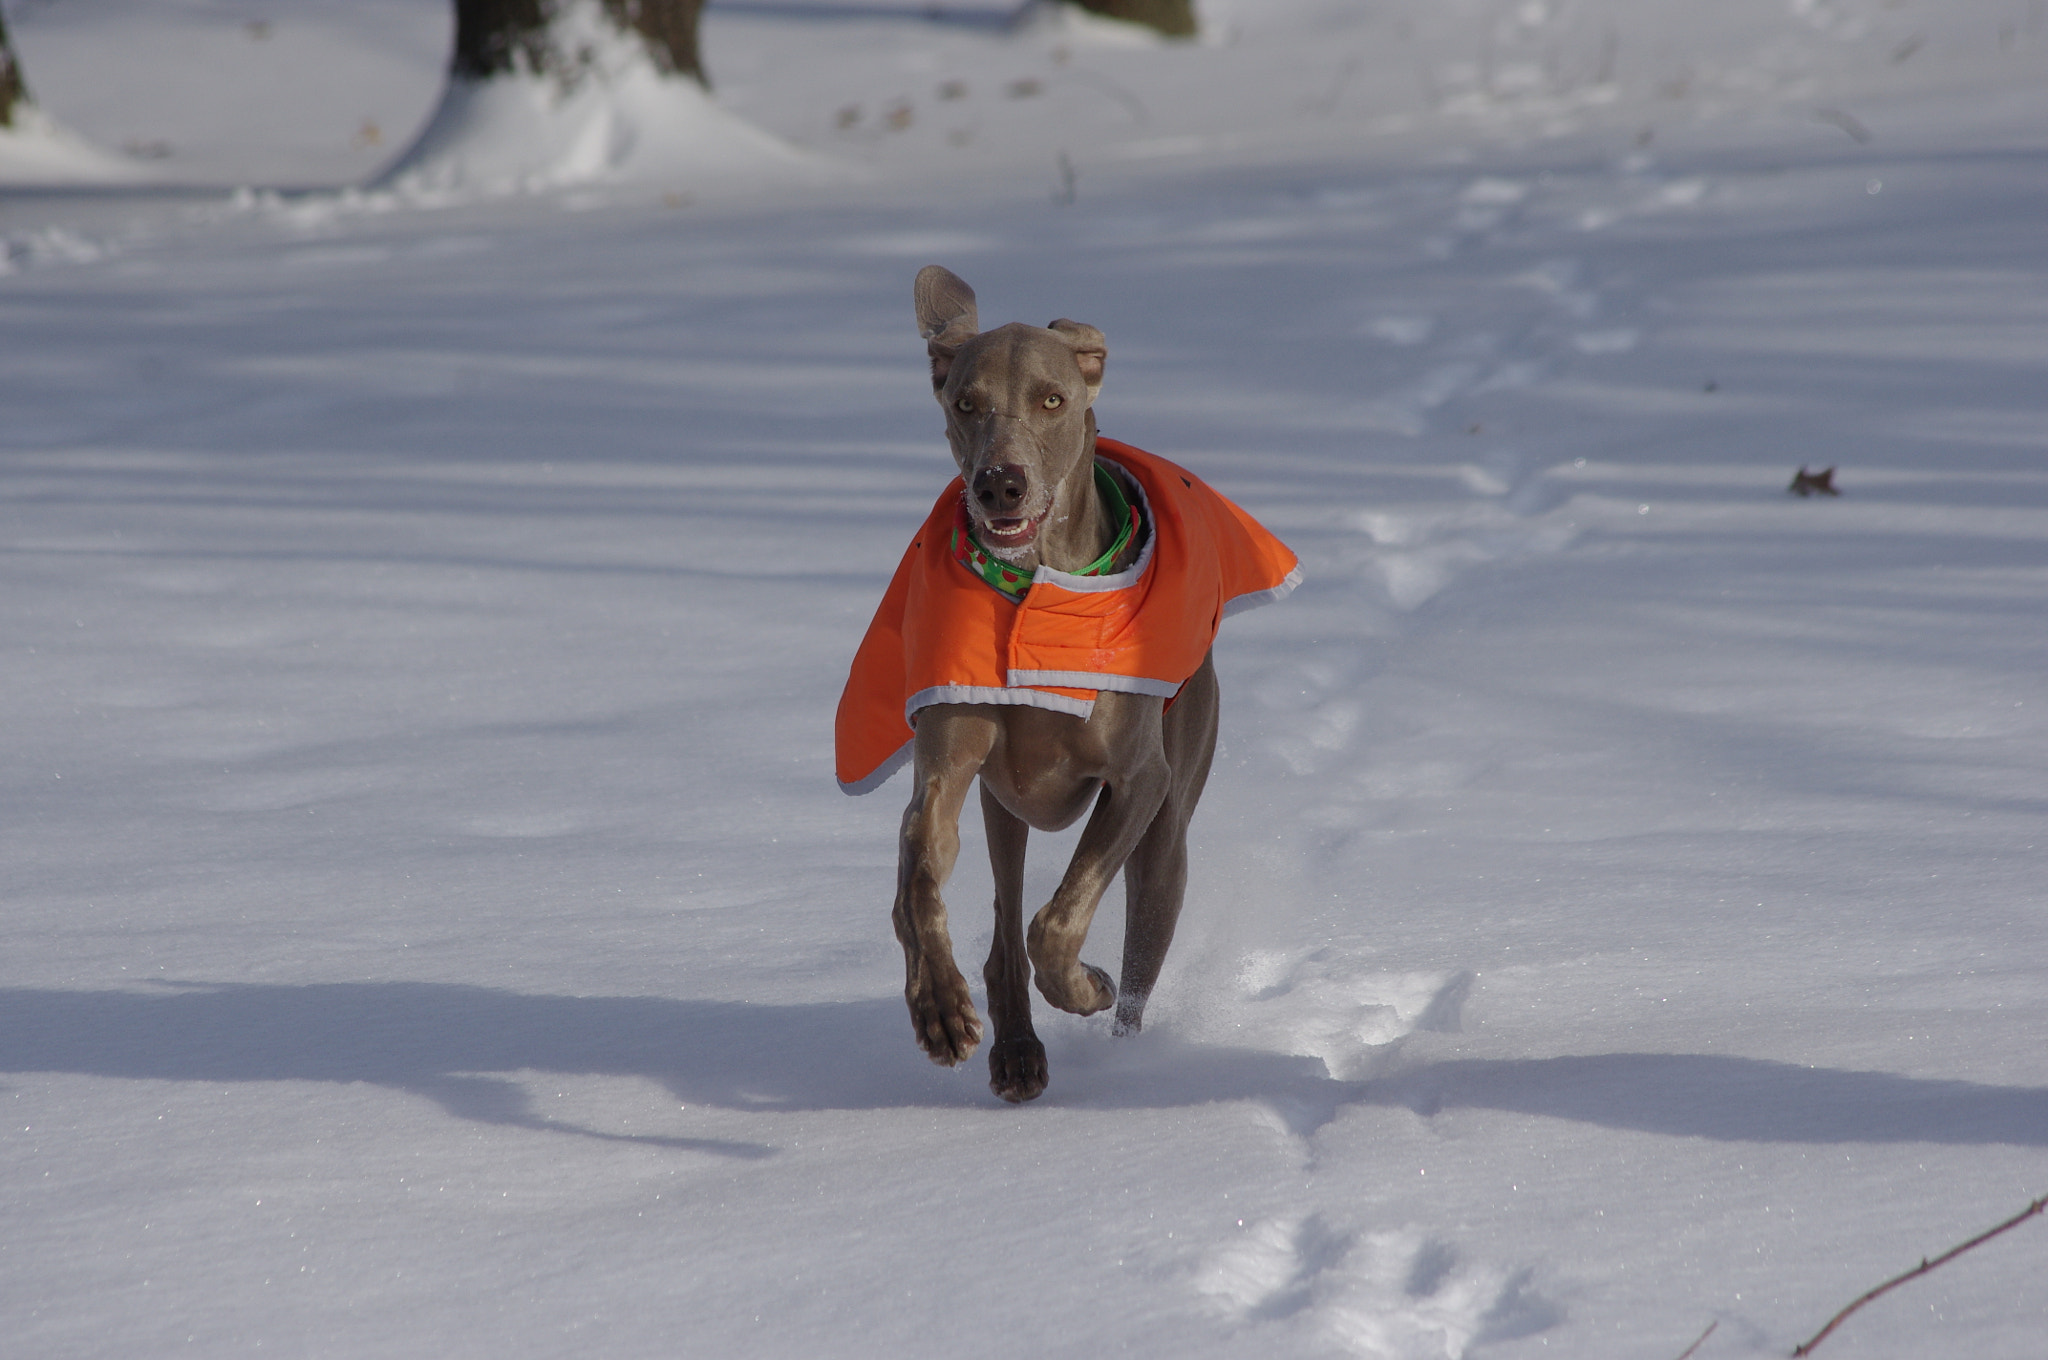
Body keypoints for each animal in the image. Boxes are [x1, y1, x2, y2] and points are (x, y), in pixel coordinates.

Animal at [835, 266, 1294, 1106]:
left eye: (1052, 400)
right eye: (966, 403)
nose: (1000, 486)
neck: (1033, 586)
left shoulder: (1141, 780)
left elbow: (1061, 918)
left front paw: (1086, 986)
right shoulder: (946, 769)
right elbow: (920, 879)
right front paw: (939, 1008)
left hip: (1167, 844)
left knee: (1125, 945)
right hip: (1001, 808)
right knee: (994, 919)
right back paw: (1012, 1044)